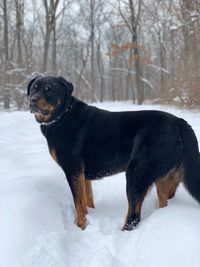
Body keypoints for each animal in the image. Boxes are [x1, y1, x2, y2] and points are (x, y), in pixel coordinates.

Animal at [27, 76, 200, 231]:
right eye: (34, 88)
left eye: (49, 89)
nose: (32, 99)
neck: (62, 115)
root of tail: (180, 123)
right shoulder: (83, 174)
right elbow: (87, 200)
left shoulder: (73, 170)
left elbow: (78, 204)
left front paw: (81, 227)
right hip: (164, 180)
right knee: (162, 203)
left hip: (137, 172)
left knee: (134, 216)